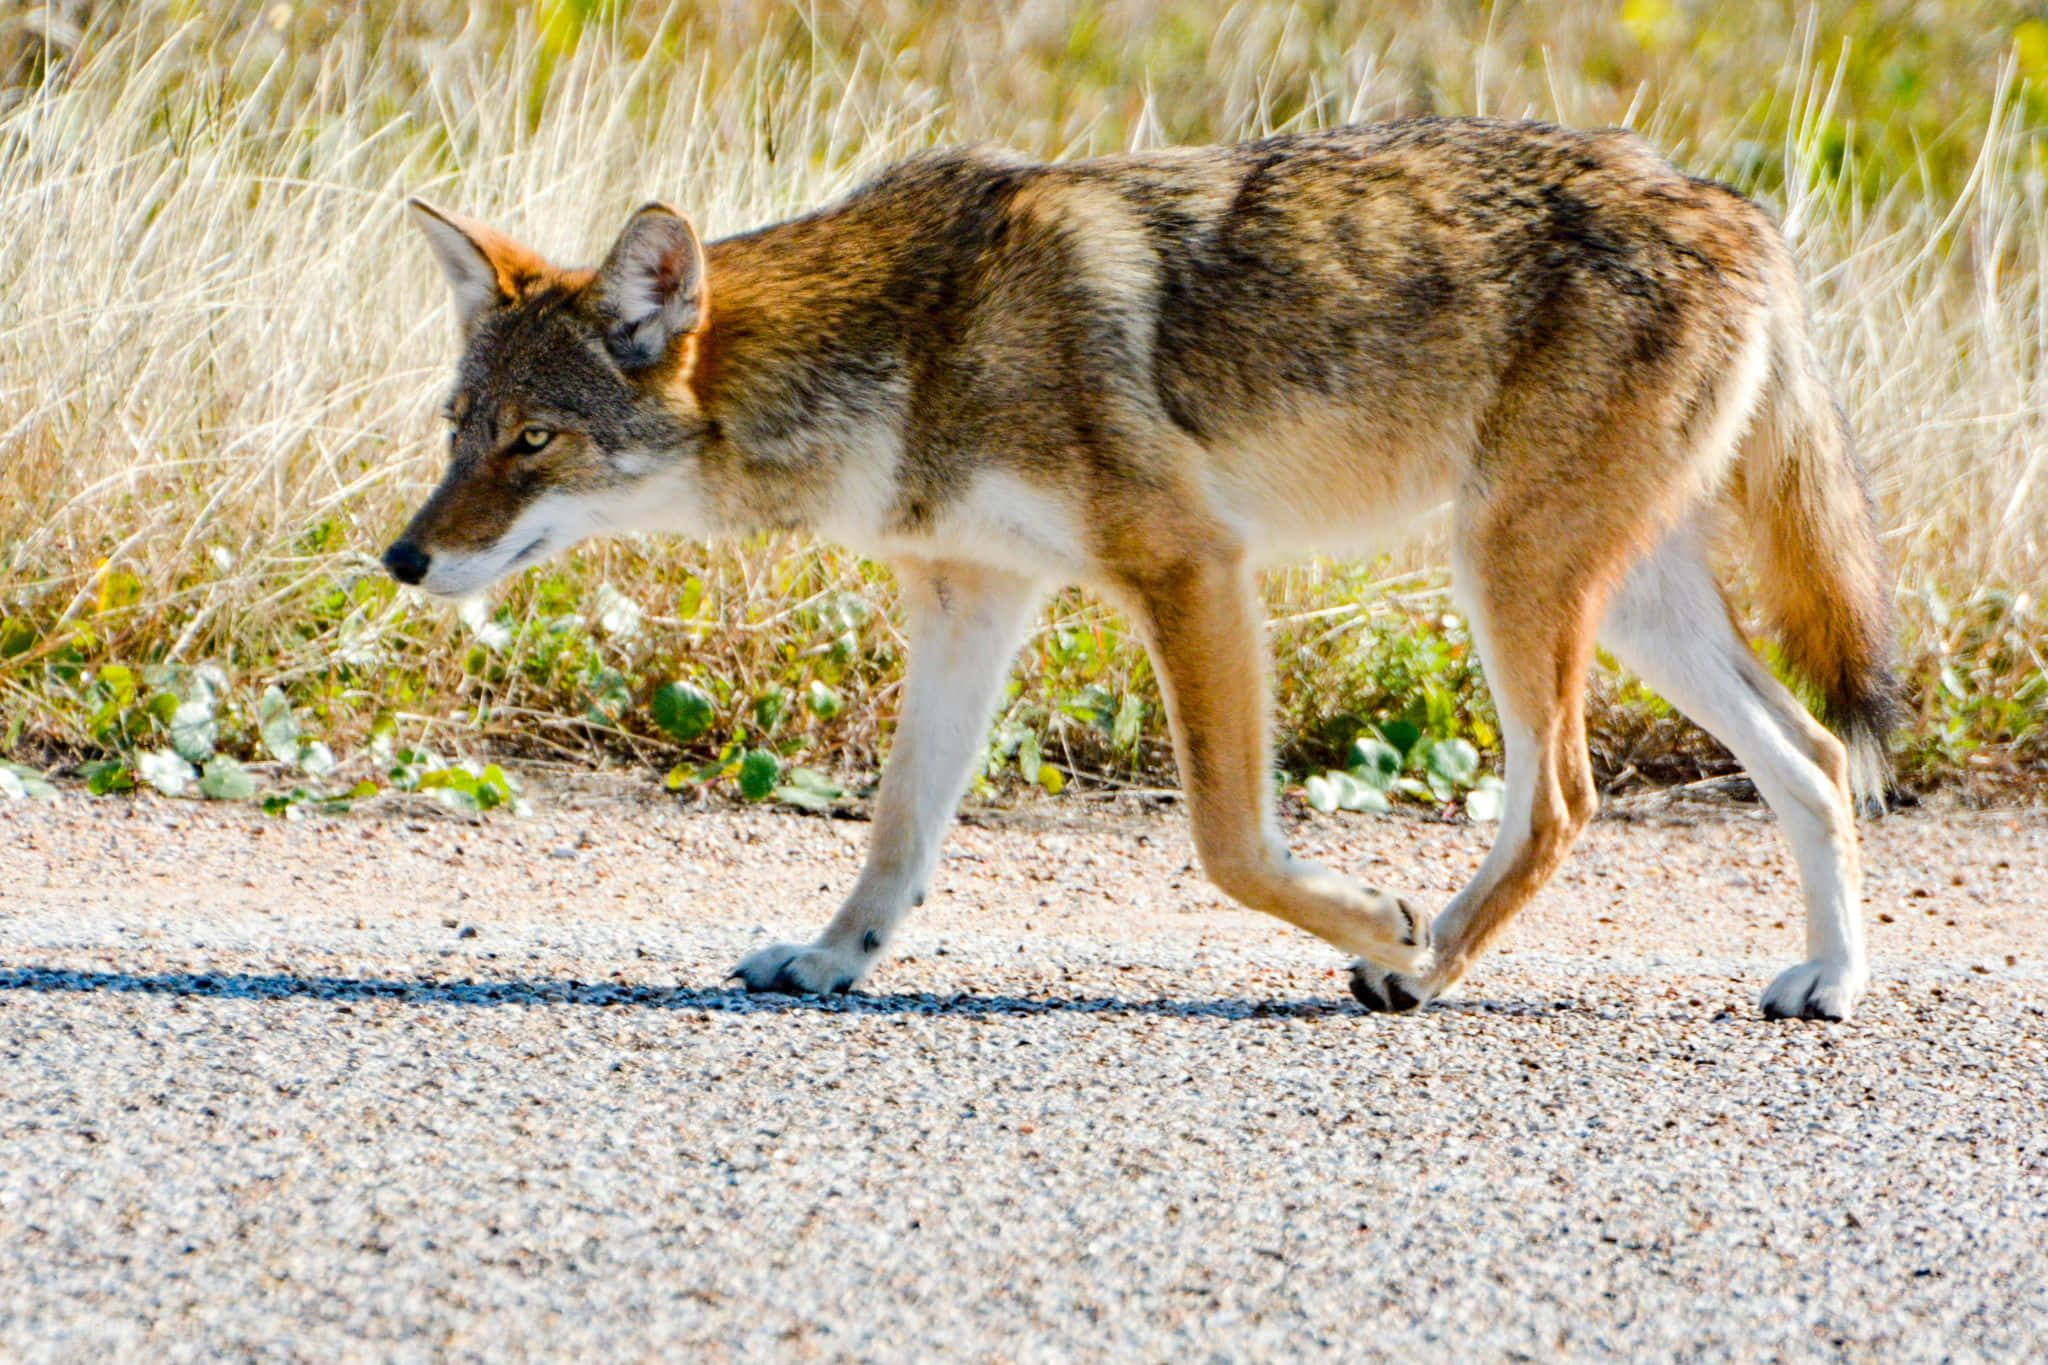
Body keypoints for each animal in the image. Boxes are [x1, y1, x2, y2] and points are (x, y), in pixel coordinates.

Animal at [386, 118, 1897, 1020]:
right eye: (458, 429)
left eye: (532, 441)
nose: (402, 557)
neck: (908, 345)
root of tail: (1742, 215)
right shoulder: (970, 596)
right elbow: (897, 828)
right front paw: (830, 959)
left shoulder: (1189, 568)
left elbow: (1227, 843)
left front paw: (1377, 919)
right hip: (1618, 603)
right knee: (1816, 755)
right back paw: (1828, 977)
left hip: (1512, 579)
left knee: (1566, 799)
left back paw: (1419, 966)